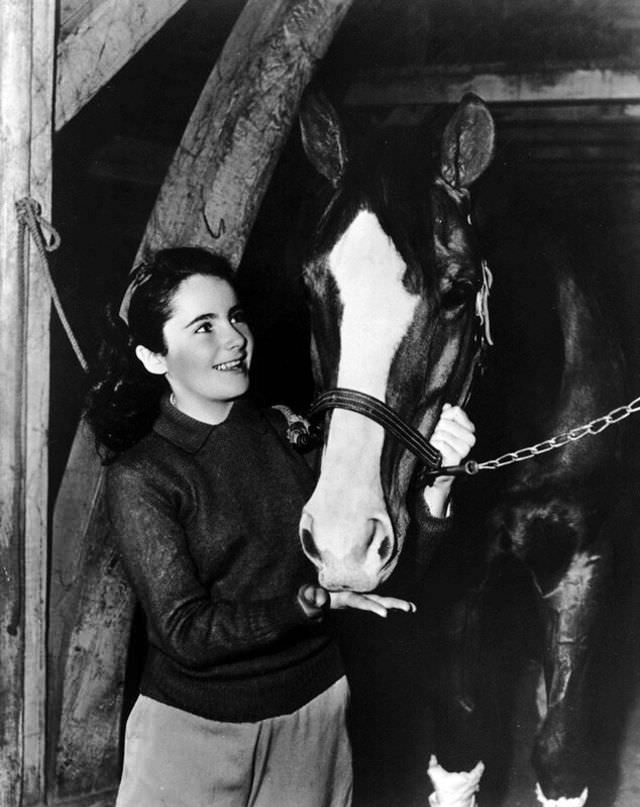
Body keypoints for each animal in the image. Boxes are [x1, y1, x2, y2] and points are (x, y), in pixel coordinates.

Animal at [296, 94, 624, 807]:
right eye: (310, 286)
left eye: (457, 288)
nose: (342, 542)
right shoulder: (453, 587)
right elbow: (459, 748)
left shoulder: (583, 564)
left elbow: (560, 756)